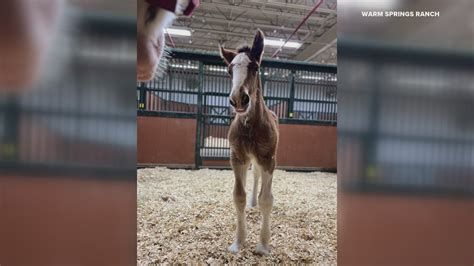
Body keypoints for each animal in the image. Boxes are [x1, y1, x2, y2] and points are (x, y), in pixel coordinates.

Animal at [220, 29, 280, 256]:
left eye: (255, 67)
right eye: (229, 70)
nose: (238, 99)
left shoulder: (268, 159)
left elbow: (267, 199)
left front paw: (263, 245)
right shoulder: (237, 158)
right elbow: (239, 196)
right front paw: (238, 242)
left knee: (260, 179)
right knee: (253, 177)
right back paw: (252, 202)